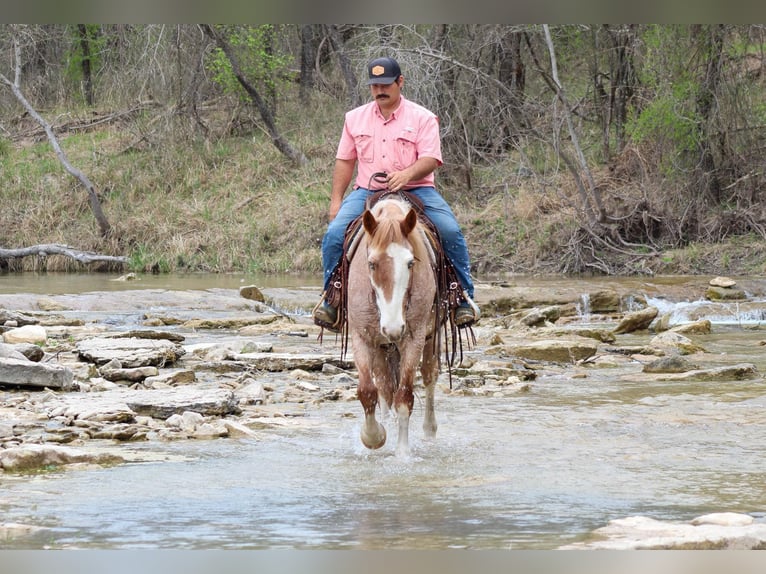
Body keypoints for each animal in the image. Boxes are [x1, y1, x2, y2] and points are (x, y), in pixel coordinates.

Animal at [345, 195, 442, 458]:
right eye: (371, 264)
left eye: (410, 263)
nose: (393, 328)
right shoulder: (361, 337)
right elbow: (367, 392)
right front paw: (374, 437)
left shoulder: (414, 338)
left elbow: (404, 396)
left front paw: (402, 453)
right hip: (381, 347)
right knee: (384, 386)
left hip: (431, 337)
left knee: (429, 376)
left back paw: (429, 431)